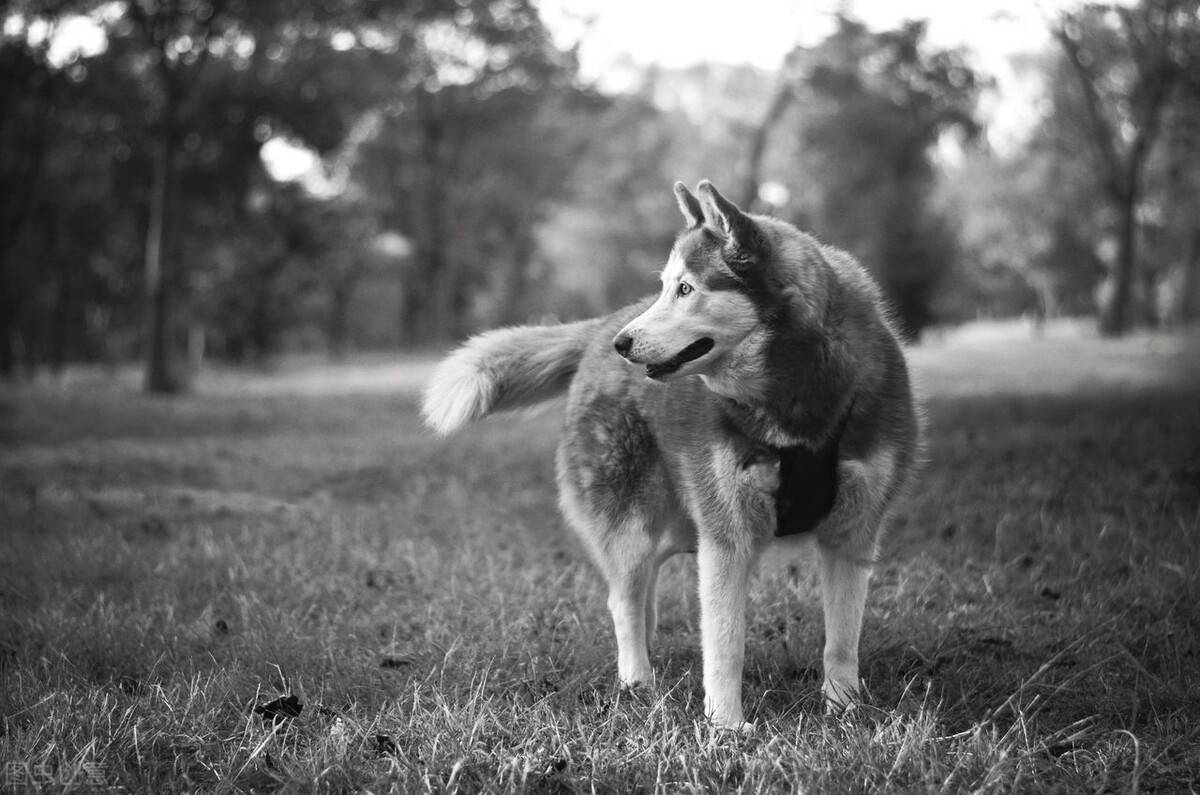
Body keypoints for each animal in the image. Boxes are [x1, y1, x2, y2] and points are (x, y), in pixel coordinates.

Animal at [422, 183, 916, 730]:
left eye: (685, 289)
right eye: (666, 287)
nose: (625, 344)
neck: (794, 402)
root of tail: (602, 327)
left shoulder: (853, 533)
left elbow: (842, 640)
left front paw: (844, 710)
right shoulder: (727, 537)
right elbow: (725, 642)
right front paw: (727, 727)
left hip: (679, 524)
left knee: (643, 592)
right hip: (633, 521)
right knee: (623, 598)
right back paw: (637, 679)